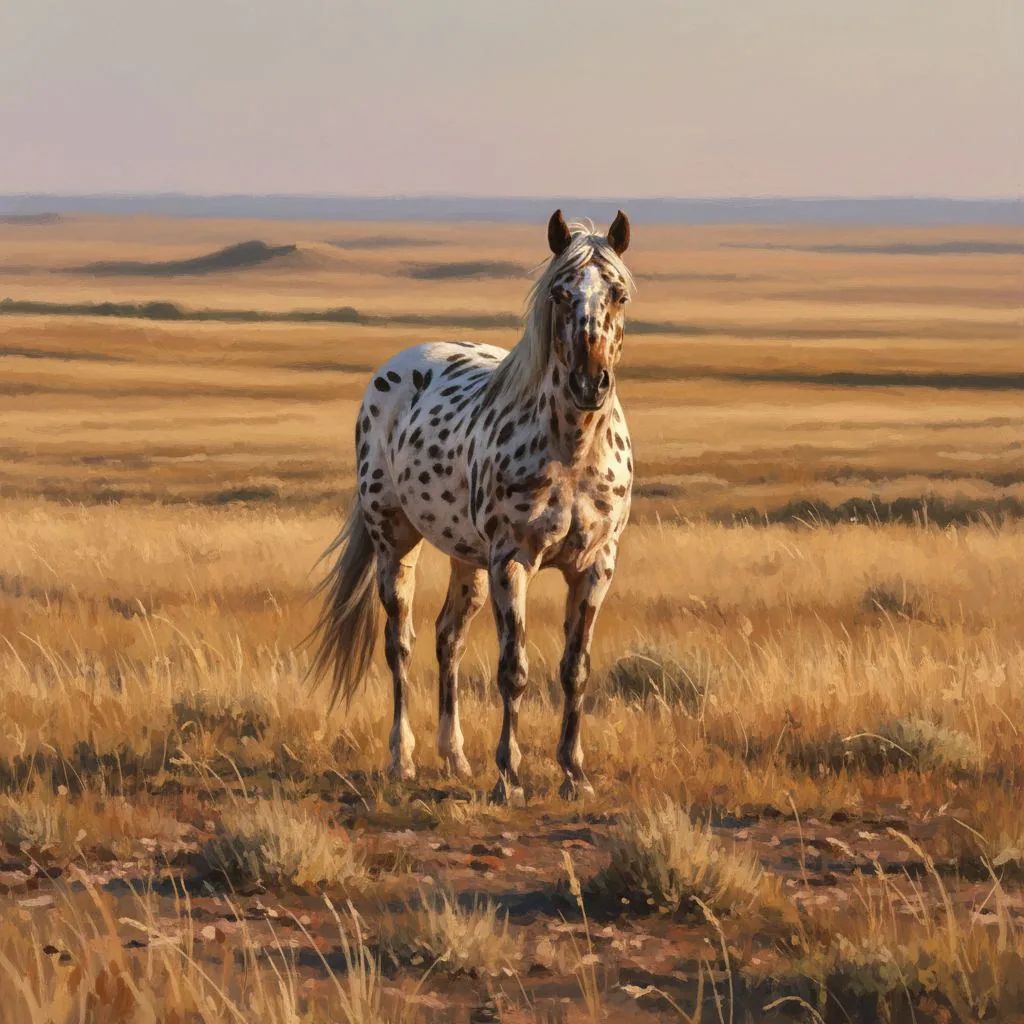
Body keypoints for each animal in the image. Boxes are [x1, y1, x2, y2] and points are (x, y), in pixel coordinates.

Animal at [310, 210, 635, 805]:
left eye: (618, 292)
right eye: (559, 292)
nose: (589, 383)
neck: (572, 450)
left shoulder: (596, 566)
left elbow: (575, 670)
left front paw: (574, 775)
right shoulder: (512, 561)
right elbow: (514, 670)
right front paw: (510, 778)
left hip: (469, 561)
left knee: (449, 639)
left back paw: (455, 756)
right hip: (396, 544)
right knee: (401, 644)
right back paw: (403, 758)